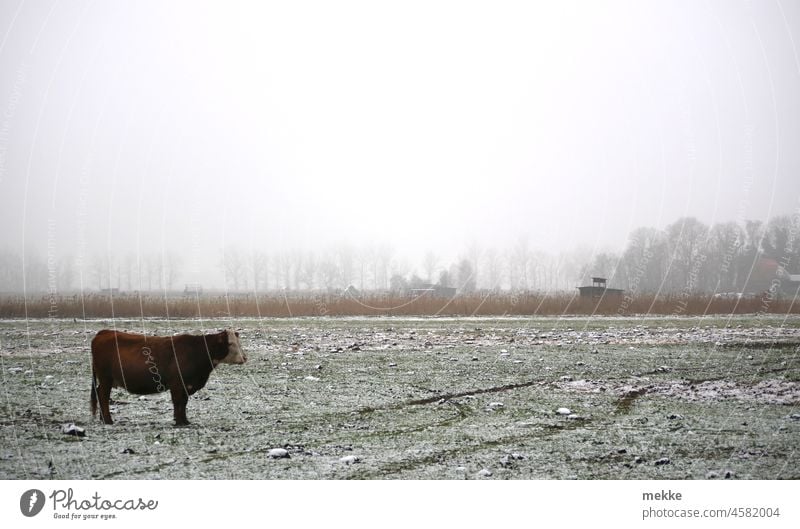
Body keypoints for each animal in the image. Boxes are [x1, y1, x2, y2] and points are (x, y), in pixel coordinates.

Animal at [91, 326, 247, 424]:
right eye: (231, 344)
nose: (244, 358)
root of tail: (103, 333)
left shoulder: (186, 385)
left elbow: (184, 403)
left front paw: (185, 421)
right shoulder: (177, 384)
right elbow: (178, 402)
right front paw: (179, 422)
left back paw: (103, 419)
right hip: (106, 378)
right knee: (103, 396)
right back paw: (108, 420)